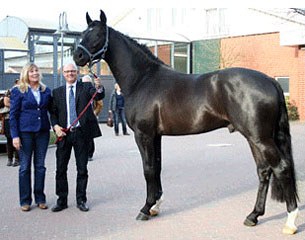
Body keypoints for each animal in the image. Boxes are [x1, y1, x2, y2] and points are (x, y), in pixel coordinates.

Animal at [74, 10, 300, 233]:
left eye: (97, 35)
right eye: (84, 33)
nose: (77, 56)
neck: (143, 79)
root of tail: (270, 81)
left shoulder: (143, 135)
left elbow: (148, 169)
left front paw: (145, 208)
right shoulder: (155, 136)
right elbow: (157, 167)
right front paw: (156, 205)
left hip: (260, 138)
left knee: (281, 167)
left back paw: (290, 221)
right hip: (254, 138)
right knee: (264, 171)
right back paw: (253, 216)